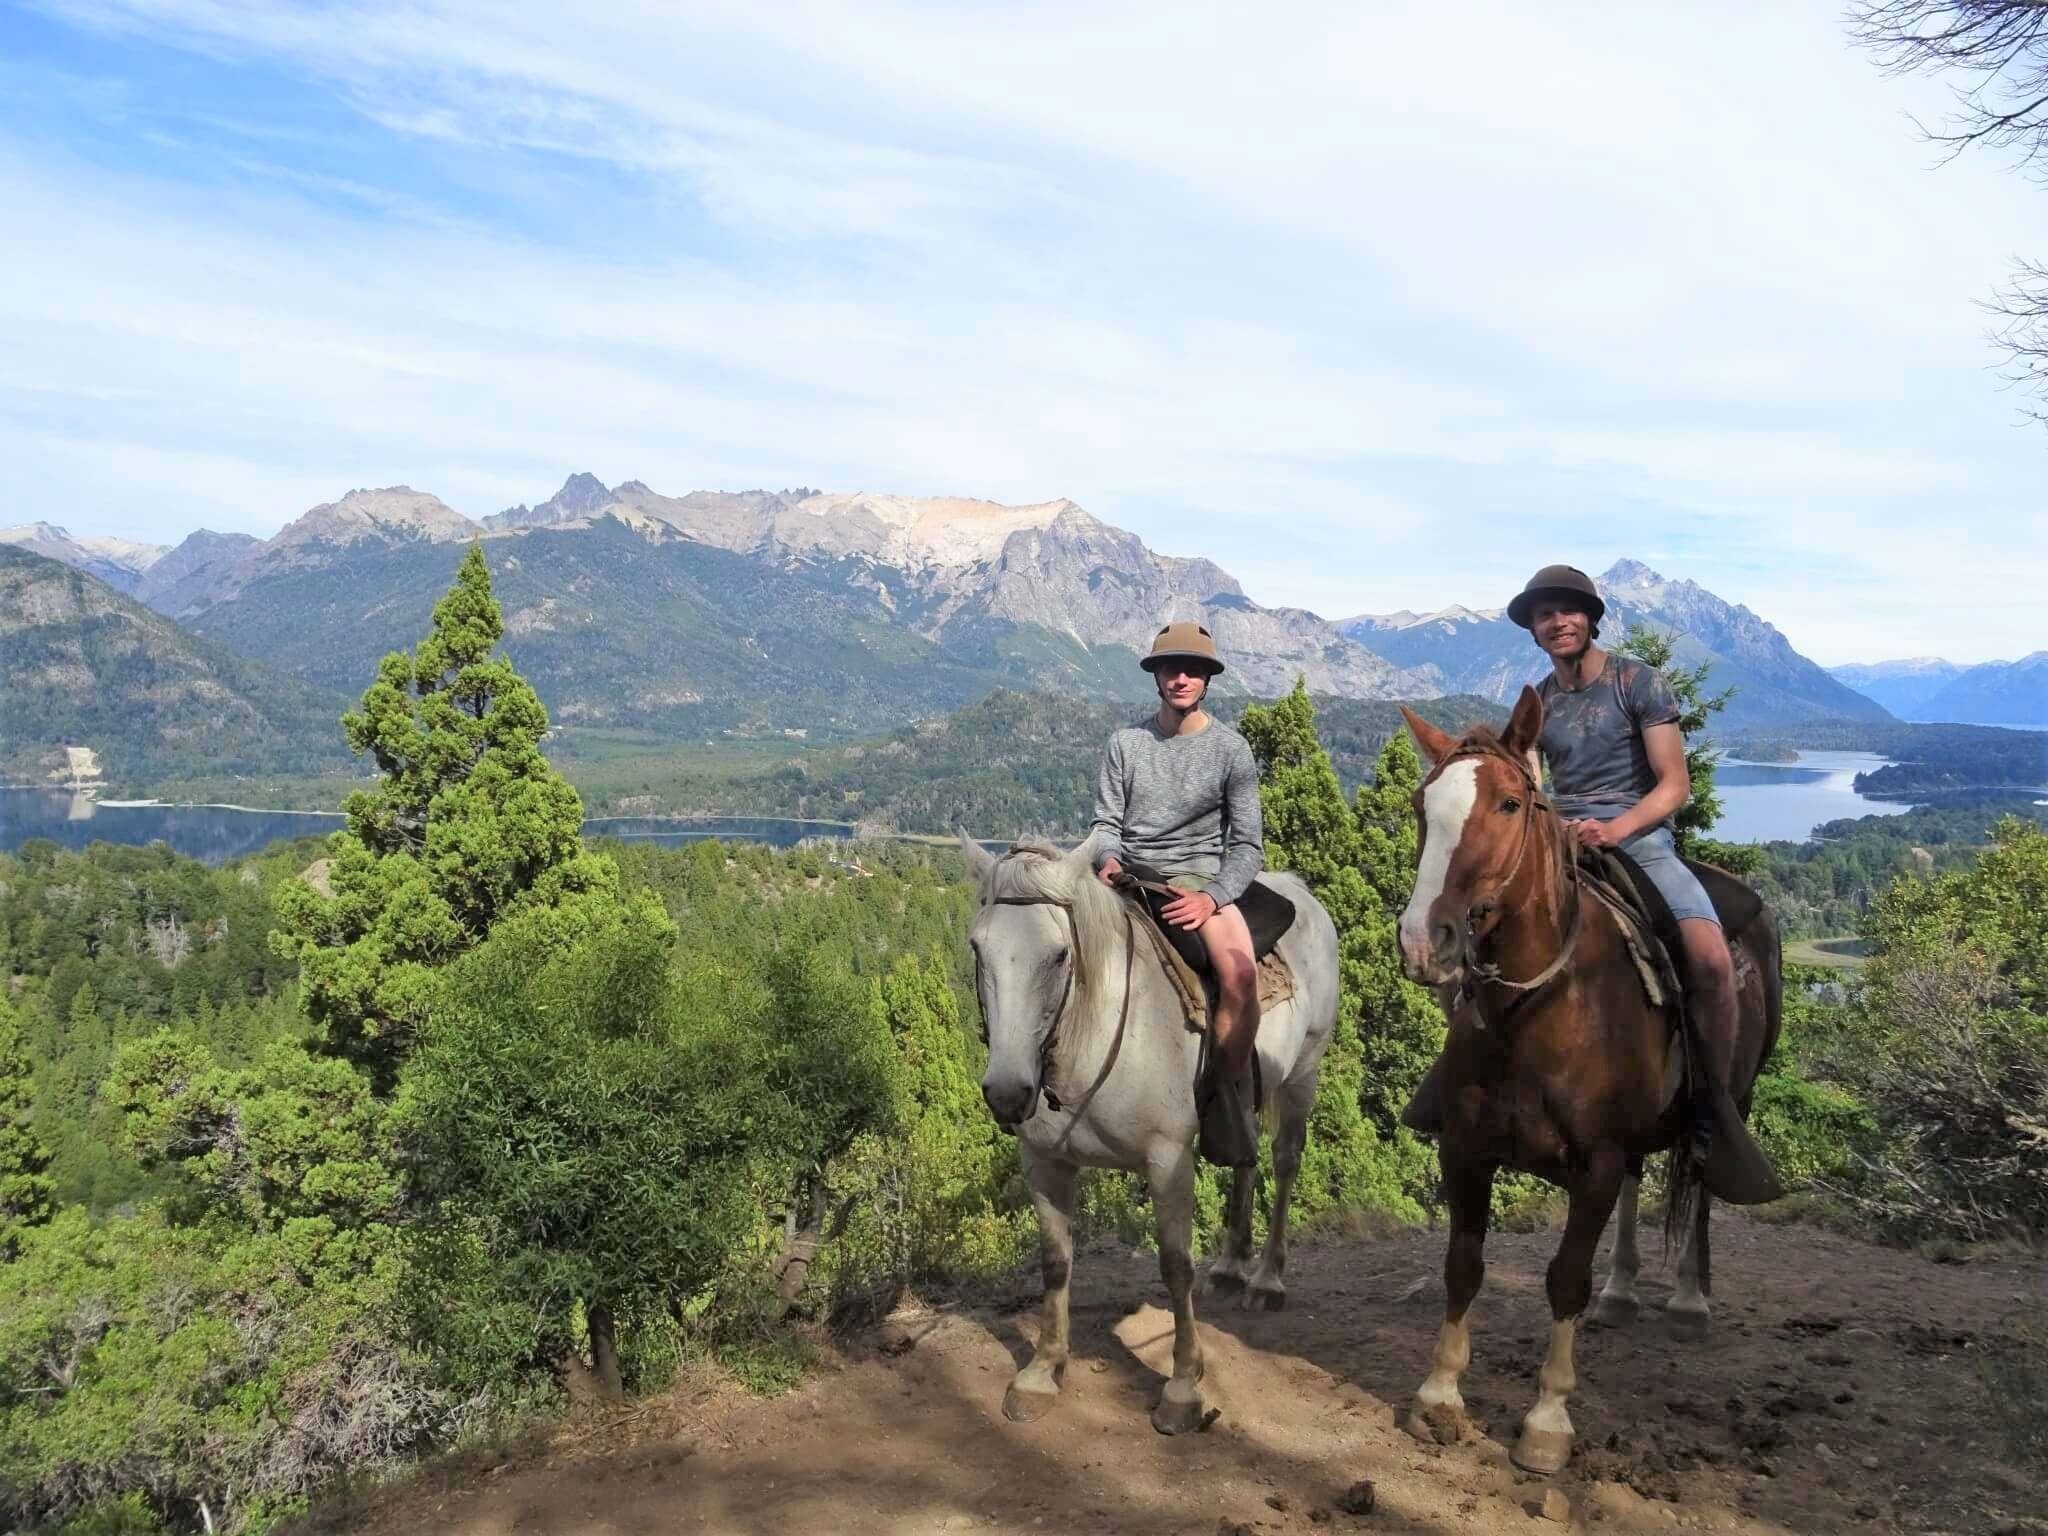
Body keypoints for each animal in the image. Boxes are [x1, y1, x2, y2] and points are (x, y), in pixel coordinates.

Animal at [958, 835, 1343, 1441]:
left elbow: (1175, 1266)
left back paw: (1265, 1280)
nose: (1007, 1092)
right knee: (1246, 1158)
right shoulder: (1042, 1160)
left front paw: (1183, 1387)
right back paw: (1232, 1267)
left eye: (1059, 955)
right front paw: (1042, 1372)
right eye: (978, 948)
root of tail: (1298, 889)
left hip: (1304, 1073)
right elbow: (1055, 1260)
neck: (1092, 1034)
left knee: (1284, 1161)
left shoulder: (1168, 1160)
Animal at [1392, 688, 1777, 1482]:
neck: (1543, 1002)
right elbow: (1462, 1266)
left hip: (1731, 1099)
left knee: (1698, 1184)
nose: (1423, 941)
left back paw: (1688, 1299)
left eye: (1509, 804)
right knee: (1640, 1181)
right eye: (1422, 806)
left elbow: (1564, 1277)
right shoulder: (1466, 1151)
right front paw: (1439, 1395)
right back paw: (1623, 1290)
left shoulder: (1593, 1164)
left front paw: (1546, 1423)